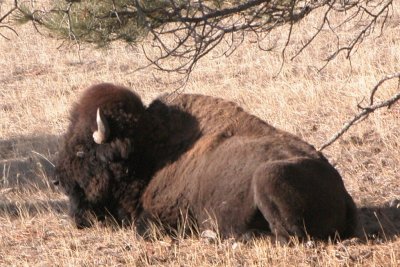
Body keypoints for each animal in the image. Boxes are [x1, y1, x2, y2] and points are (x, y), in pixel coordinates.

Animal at [52, 83, 356, 243]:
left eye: (82, 150)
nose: (56, 180)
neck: (149, 147)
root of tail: (343, 192)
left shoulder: (161, 217)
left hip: (268, 176)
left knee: (283, 236)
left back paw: (214, 234)